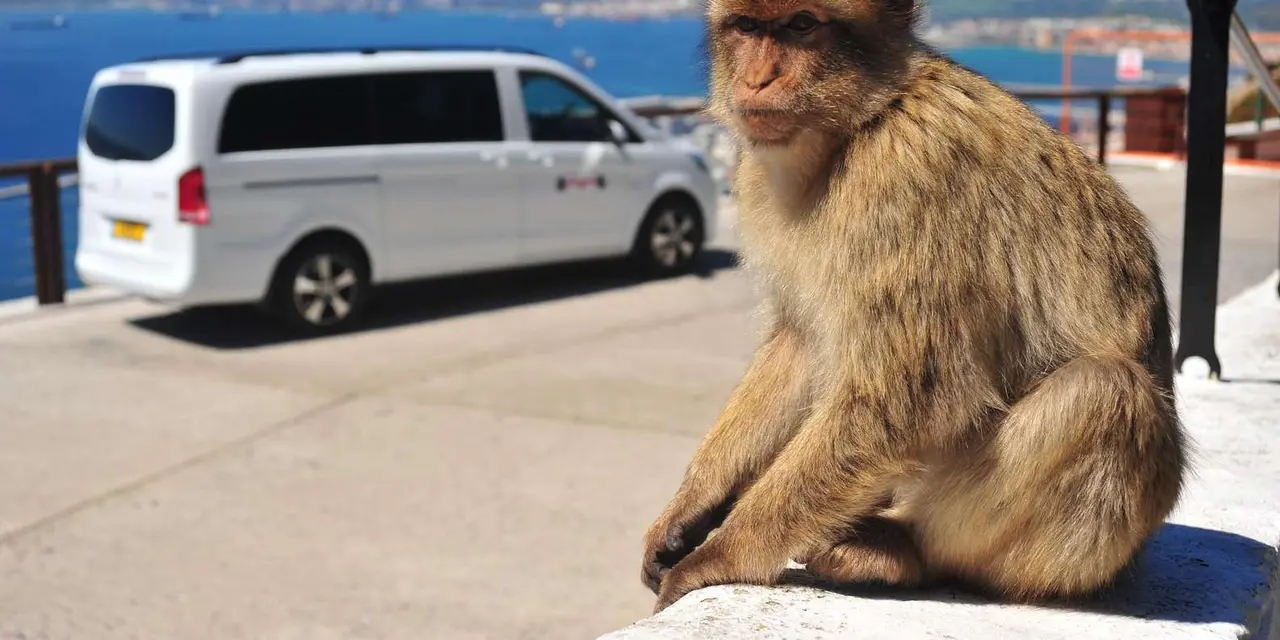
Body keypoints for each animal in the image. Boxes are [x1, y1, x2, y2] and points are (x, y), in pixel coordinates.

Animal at [639, 0, 1187, 615]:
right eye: (748, 27)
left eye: (802, 26)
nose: (757, 79)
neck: (862, 124)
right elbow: (802, 343)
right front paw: (693, 504)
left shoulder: (908, 176)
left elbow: (910, 396)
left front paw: (717, 555)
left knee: (1106, 393)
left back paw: (907, 552)